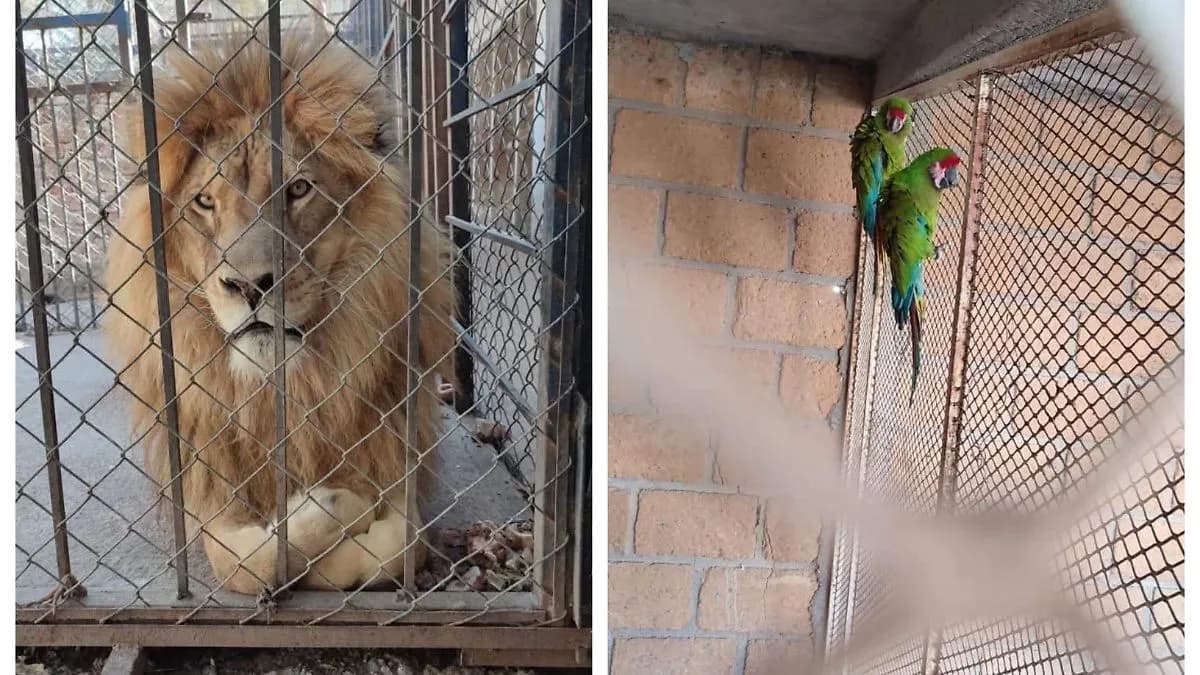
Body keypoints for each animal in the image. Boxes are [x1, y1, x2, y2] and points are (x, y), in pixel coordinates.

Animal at [104, 30, 458, 594]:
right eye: (205, 202)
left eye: (298, 189)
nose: (250, 285)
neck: (285, 390)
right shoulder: (208, 494)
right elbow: (250, 563)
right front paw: (331, 510)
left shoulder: (397, 460)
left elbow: (400, 548)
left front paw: (340, 519)